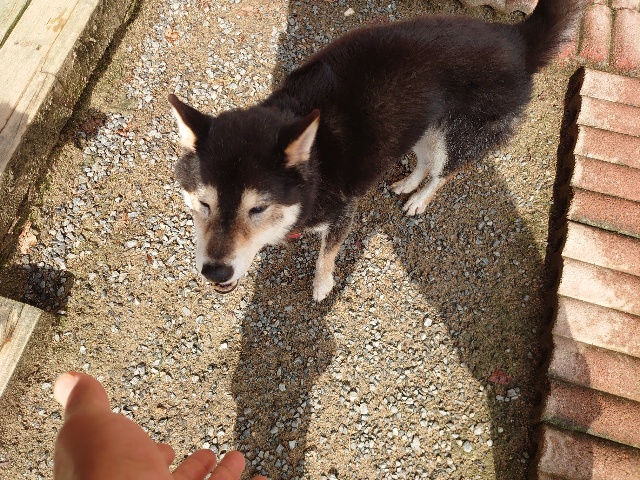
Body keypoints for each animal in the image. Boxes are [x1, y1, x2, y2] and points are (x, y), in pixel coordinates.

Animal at [169, 0, 581, 301]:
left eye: (257, 209)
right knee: (423, 160)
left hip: (457, 136)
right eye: (203, 204)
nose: (215, 271)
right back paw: (406, 184)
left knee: (443, 172)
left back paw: (419, 199)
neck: (316, 163)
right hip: (420, 122)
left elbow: (326, 257)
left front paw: (322, 287)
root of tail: (519, 41)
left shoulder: (341, 212)